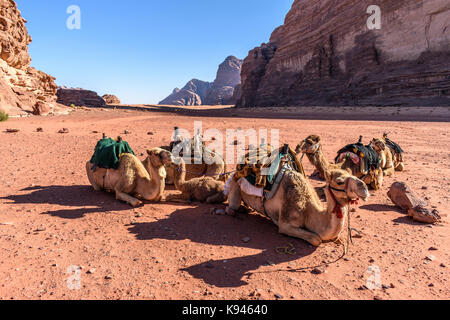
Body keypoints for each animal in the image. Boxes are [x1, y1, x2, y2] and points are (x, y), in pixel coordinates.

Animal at [225, 168, 370, 248]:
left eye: (356, 176)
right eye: (339, 181)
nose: (364, 188)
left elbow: (336, 237)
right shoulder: (285, 223)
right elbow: (316, 239)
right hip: (235, 184)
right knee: (231, 207)